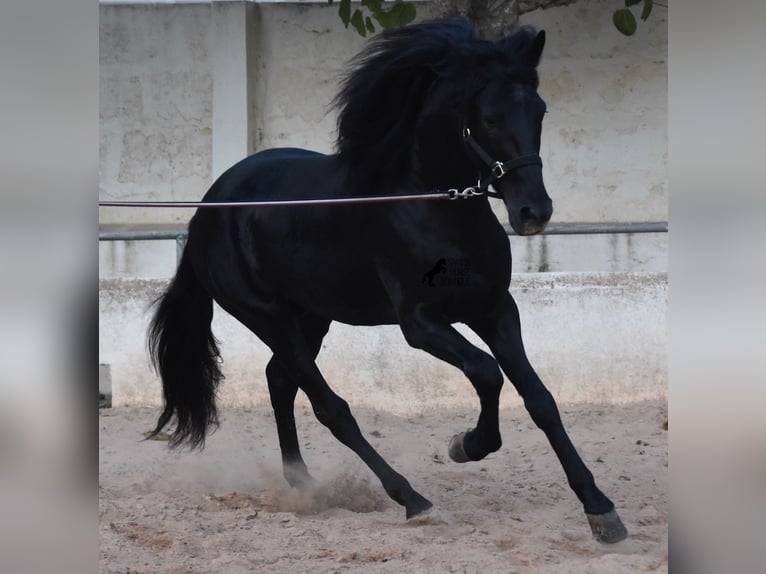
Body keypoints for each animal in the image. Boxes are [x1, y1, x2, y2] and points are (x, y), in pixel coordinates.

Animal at [150, 19, 632, 544]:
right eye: (486, 118)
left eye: (539, 110)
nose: (534, 212)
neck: (435, 208)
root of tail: (206, 210)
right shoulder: (420, 323)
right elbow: (487, 372)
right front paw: (467, 444)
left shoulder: (495, 309)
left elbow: (540, 398)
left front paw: (601, 509)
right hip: (268, 317)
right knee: (331, 408)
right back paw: (413, 500)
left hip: (311, 317)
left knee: (280, 380)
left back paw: (304, 485)